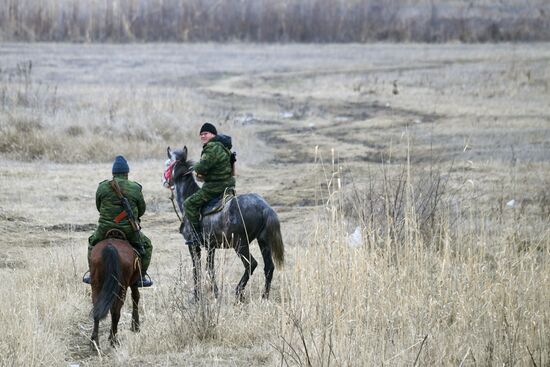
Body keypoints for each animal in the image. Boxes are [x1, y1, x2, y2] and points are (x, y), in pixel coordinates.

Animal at [165, 147, 284, 302]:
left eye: (168, 163)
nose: (165, 181)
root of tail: (265, 207)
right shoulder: (211, 247)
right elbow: (210, 269)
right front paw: (216, 293)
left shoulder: (193, 246)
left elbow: (196, 269)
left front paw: (196, 297)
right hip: (263, 241)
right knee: (269, 267)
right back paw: (264, 296)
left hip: (240, 245)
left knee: (251, 264)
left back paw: (238, 292)